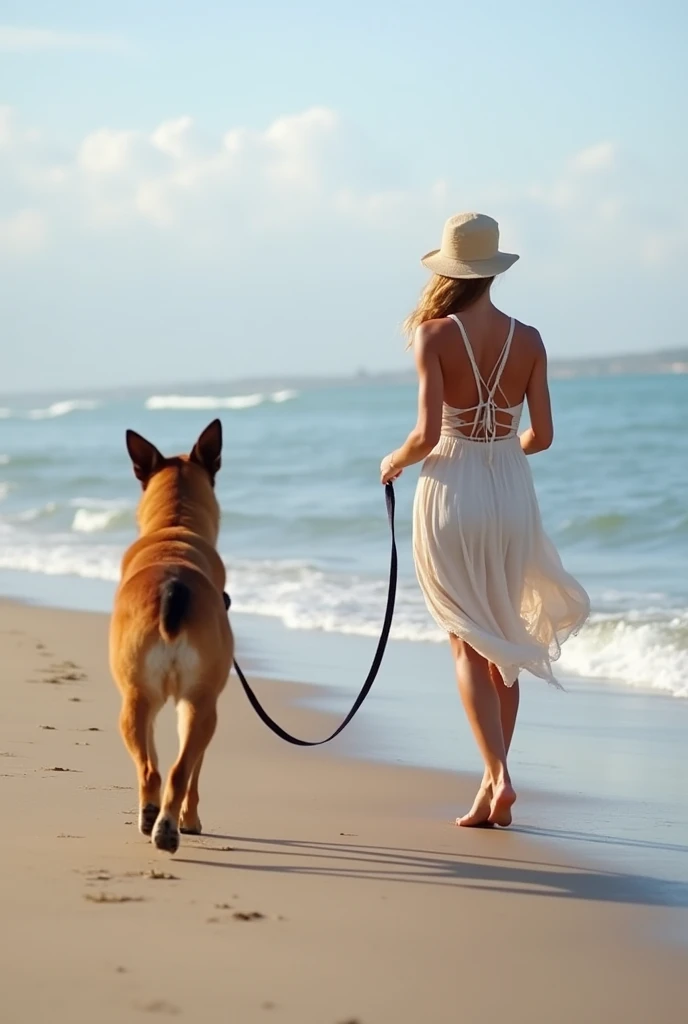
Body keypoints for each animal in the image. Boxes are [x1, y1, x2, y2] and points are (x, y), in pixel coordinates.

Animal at [110, 417, 232, 856]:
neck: (173, 527)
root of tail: (172, 587)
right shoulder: (198, 703)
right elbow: (193, 772)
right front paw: (191, 820)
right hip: (202, 707)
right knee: (180, 772)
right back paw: (171, 826)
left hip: (135, 701)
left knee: (152, 770)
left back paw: (154, 822)